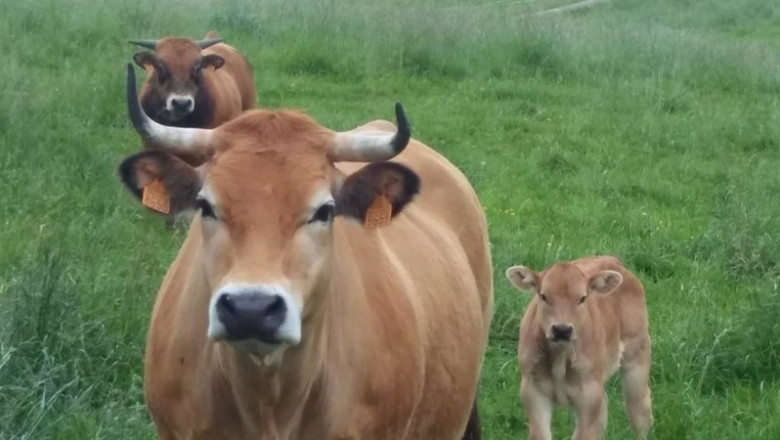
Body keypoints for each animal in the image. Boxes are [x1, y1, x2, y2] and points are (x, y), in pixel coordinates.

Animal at [505, 256, 652, 440]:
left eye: (582, 298)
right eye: (544, 296)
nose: (562, 330)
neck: (560, 359)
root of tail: (611, 259)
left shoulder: (588, 395)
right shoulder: (533, 391)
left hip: (637, 353)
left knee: (639, 407)